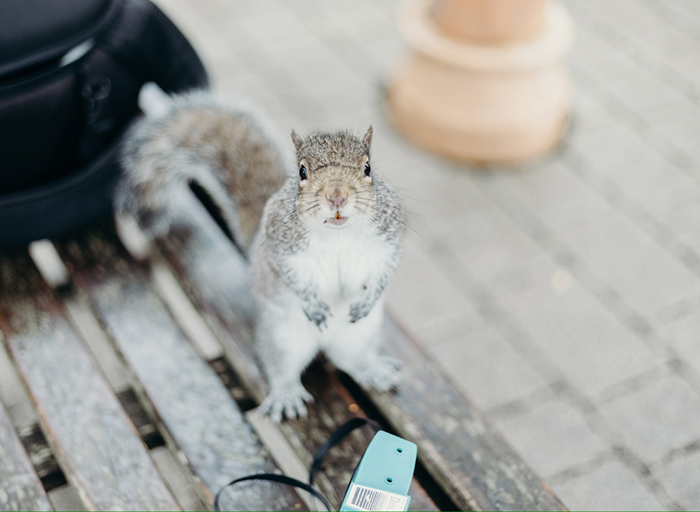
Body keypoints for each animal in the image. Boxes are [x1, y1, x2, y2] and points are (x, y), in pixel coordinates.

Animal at [116, 88, 404, 422]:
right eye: (302, 171)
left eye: (368, 168)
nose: (337, 197)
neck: (338, 234)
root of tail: (322, 343)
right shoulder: (282, 245)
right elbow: (289, 273)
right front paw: (312, 303)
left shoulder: (388, 237)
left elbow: (387, 267)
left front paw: (369, 297)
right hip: (281, 335)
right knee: (281, 366)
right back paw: (285, 393)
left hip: (359, 333)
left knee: (348, 359)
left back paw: (370, 369)